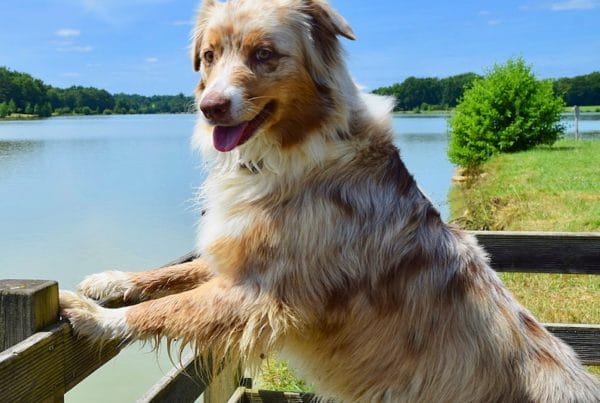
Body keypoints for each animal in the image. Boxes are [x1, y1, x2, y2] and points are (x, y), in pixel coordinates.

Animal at [62, 0, 600, 400]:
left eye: (264, 54)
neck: (291, 153)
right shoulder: (237, 257)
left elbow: (169, 310)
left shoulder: (263, 291)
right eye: (210, 55)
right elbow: (172, 276)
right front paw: (112, 281)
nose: (209, 107)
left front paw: (95, 318)